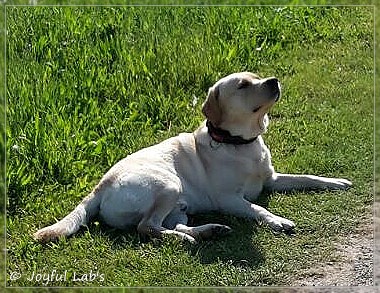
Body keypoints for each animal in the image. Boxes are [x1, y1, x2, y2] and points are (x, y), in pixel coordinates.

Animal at [34, 72, 352, 243]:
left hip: (179, 205)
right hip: (167, 184)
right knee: (147, 227)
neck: (240, 143)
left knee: (169, 224)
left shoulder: (271, 179)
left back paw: (208, 231)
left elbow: (307, 176)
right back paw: (187, 239)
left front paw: (335, 181)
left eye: (257, 76)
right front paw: (277, 220)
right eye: (242, 85)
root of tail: (100, 186)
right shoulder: (229, 199)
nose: (273, 80)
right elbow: (258, 209)